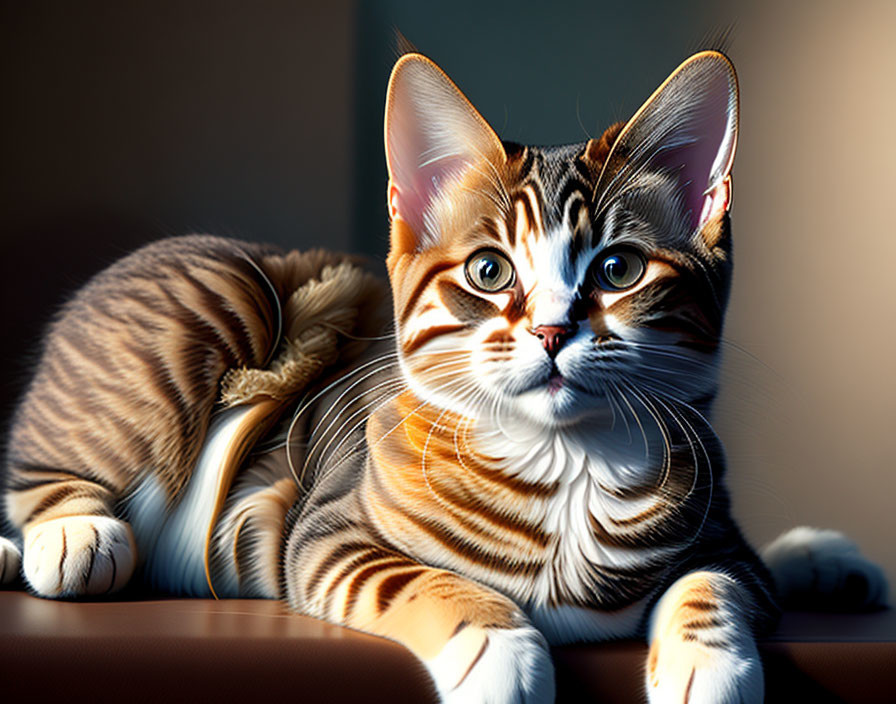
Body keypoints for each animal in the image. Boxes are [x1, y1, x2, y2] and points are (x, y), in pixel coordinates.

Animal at [0, 51, 884, 704]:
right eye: (490, 271)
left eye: (620, 269)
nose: (553, 330)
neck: (568, 464)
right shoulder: (326, 529)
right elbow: (418, 579)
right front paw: (498, 650)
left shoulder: (726, 545)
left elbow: (717, 582)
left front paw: (710, 661)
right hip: (219, 292)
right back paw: (69, 534)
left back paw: (825, 560)